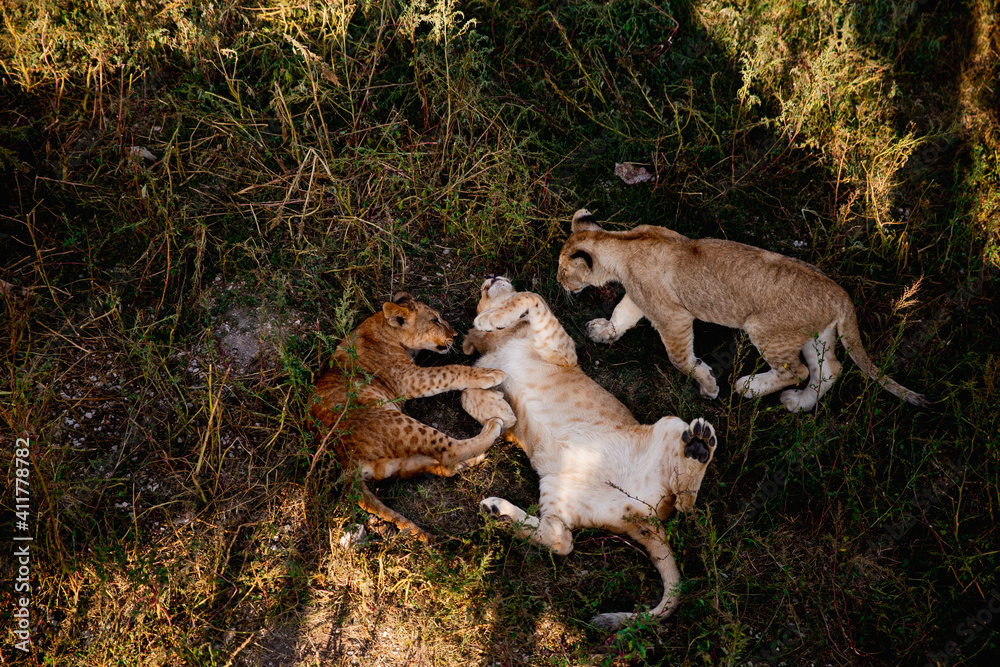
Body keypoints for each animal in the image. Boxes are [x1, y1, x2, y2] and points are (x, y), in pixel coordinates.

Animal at [309, 292, 514, 542]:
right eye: (435, 320)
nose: (455, 335)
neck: (382, 327)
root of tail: (345, 461)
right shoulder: (410, 378)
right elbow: (451, 370)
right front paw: (489, 374)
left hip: (399, 463)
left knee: (442, 467)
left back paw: (475, 459)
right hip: (400, 424)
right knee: (448, 451)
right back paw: (493, 428)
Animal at [460, 276, 717, 628]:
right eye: (483, 292)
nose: (492, 278)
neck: (504, 341)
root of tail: (645, 517)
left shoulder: (561, 348)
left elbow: (530, 296)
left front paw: (489, 319)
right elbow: (467, 391)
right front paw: (499, 410)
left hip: (670, 424)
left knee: (685, 503)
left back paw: (699, 445)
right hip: (560, 491)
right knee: (562, 540)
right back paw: (498, 512)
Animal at [557, 209, 930, 412]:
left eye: (562, 270)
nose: (559, 283)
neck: (622, 244)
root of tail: (841, 295)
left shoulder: (674, 316)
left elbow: (680, 359)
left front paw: (708, 386)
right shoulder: (640, 298)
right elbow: (621, 314)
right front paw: (604, 331)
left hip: (765, 328)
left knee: (796, 371)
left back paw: (749, 387)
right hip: (816, 334)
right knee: (829, 370)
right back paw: (798, 404)